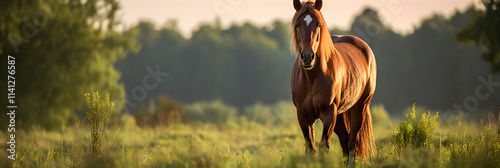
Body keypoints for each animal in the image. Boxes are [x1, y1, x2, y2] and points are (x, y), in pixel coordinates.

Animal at [290, 0, 376, 164]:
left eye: (318, 24)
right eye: (297, 25)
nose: (308, 57)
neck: (311, 79)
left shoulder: (329, 112)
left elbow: (324, 146)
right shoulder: (303, 115)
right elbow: (310, 149)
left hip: (359, 107)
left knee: (352, 143)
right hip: (340, 115)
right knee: (345, 140)